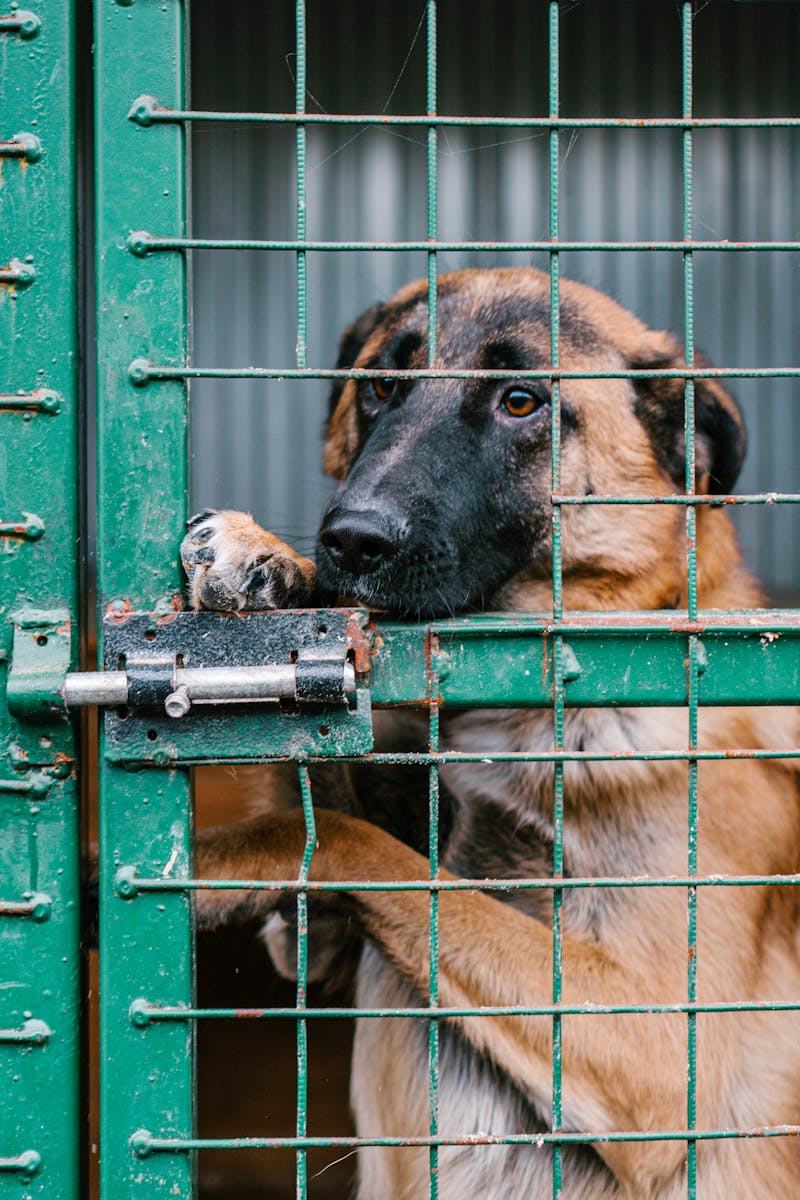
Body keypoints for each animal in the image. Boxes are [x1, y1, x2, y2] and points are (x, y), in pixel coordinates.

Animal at [183, 272, 800, 1200]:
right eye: (382, 384)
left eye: (520, 401)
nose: (350, 539)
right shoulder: (320, 943)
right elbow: (338, 811)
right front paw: (274, 568)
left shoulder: (659, 1049)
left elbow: (361, 846)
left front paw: (213, 861)